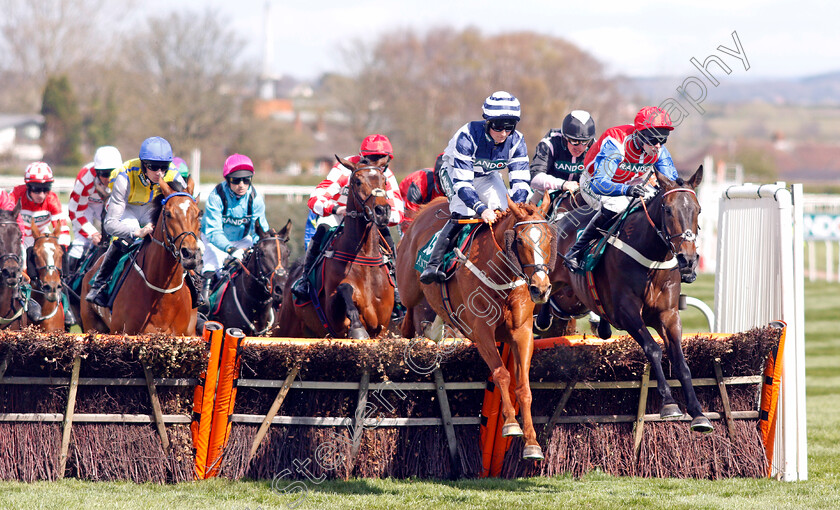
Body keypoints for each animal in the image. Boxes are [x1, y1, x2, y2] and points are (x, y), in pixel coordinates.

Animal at [276, 155, 394, 338]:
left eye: (385, 180)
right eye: (358, 181)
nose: (382, 211)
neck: (364, 256)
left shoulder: (382, 327)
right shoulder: (335, 322)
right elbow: (344, 288)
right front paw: (357, 328)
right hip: (286, 327)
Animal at [398, 194, 556, 458]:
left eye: (550, 238)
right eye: (520, 240)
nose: (540, 288)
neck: (502, 277)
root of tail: (430, 206)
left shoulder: (522, 333)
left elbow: (523, 387)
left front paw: (532, 443)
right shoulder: (481, 332)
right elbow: (501, 374)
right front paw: (510, 424)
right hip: (409, 294)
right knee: (406, 326)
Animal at [552, 167, 716, 434]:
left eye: (698, 209)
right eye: (667, 209)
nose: (688, 260)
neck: (652, 259)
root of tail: (562, 219)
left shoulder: (668, 315)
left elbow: (681, 362)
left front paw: (698, 413)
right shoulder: (626, 312)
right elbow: (653, 350)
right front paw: (669, 403)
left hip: (574, 299)